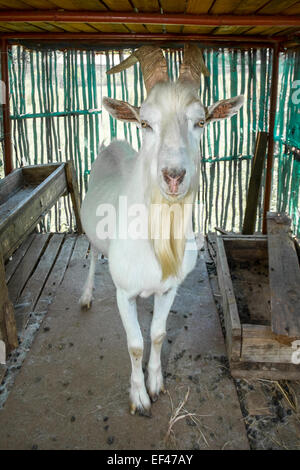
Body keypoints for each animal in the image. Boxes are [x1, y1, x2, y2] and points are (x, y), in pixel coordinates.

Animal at [80, 45, 244, 414]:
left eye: (201, 121)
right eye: (145, 123)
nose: (173, 176)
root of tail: (113, 142)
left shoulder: (170, 288)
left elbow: (155, 334)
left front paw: (155, 384)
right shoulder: (123, 292)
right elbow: (135, 344)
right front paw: (139, 398)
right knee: (93, 254)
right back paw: (85, 295)